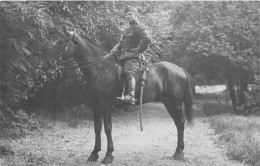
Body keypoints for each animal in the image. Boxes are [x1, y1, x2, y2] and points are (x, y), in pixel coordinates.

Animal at [62, 31, 193, 164]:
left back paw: (179, 153)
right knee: (178, 124)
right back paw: (178, 151)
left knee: (180, 123)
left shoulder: (105, 103)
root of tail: (180, 69)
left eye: (67, 42)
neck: (101, 68)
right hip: (170, 103)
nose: (61, 57)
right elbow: (97, 127)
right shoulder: (95, 103)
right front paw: (94, 153)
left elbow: (108, 128)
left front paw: (108, 155)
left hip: (175, 104)